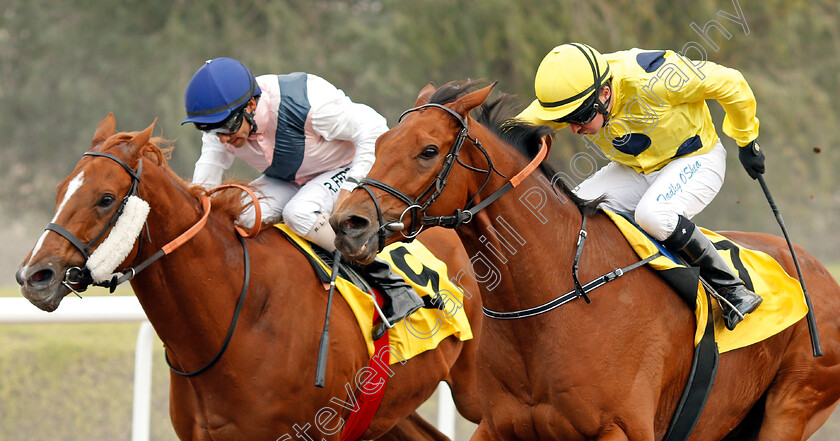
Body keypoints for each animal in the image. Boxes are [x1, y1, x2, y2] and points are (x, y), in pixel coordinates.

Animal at [330, 80, 840, 440]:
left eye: (429, 150)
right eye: (379, 145)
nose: (347, 222)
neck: (555, 296)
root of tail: (818, 271)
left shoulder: (622, 430)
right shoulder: (499, 427)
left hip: (792, 406)